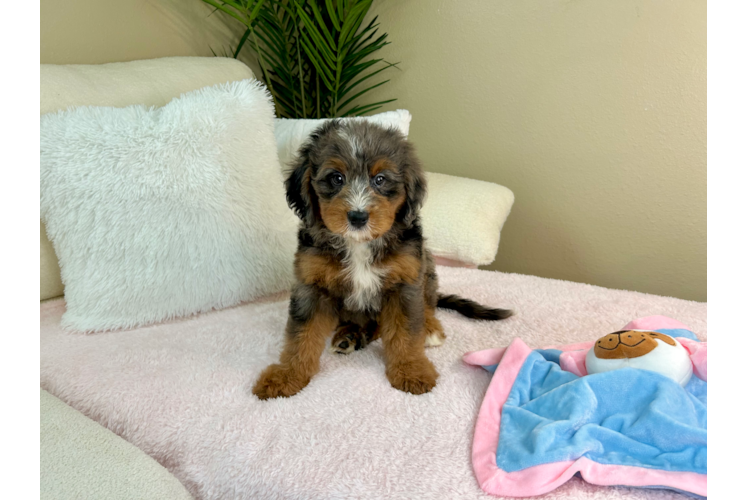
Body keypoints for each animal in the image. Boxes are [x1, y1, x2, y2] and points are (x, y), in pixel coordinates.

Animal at [254, 121, 512, 398]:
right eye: (336, 178)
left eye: (380, 179)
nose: (357, 216)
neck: (359, 244)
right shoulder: (311, 286)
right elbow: (300, 335)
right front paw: (287, 375)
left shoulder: (404, 282)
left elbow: (405, 331)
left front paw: (411, 370)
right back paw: (351, 335)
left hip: (427, 267)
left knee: (426, 305)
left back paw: (428, 328)